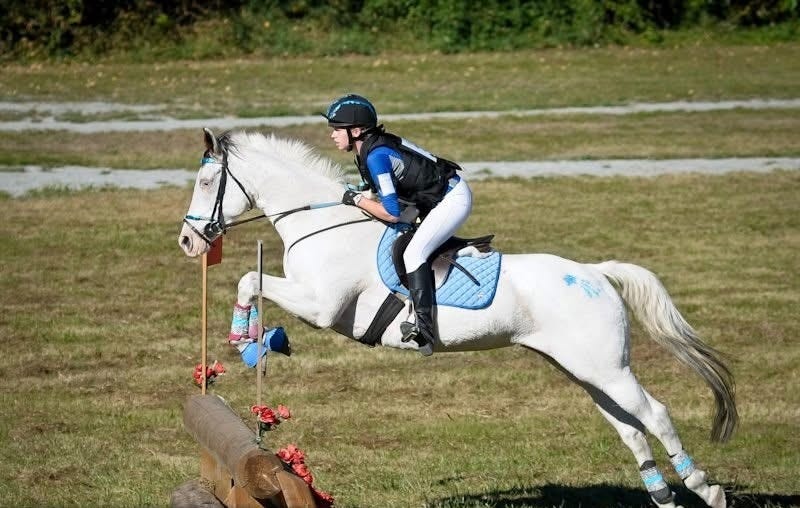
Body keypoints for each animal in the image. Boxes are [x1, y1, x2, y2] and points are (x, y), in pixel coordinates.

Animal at [178, 128, 737, 508]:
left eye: (206, 181)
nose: (187, 241)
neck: (325, 223)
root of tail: (595, 273)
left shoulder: (320, 305)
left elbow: (249, 281)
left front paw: (249, 340)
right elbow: (250, 283)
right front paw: (253, 341)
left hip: (606, 368)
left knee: (655, 414)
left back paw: (704, 489)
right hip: (585, 369)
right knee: (629, 428)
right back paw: (662, 495)